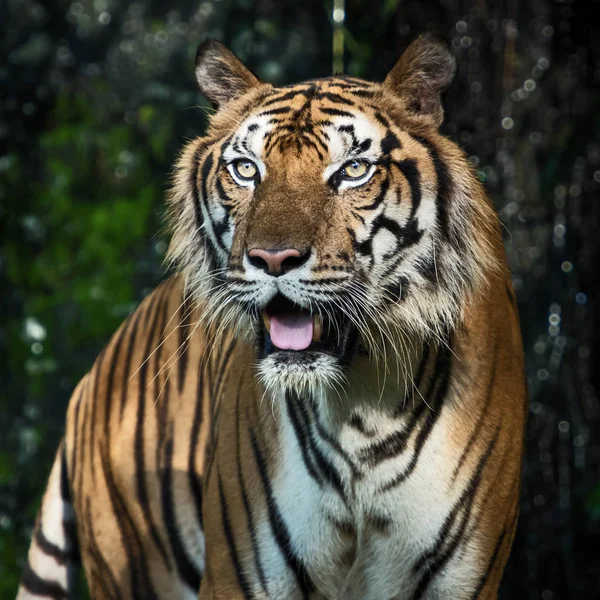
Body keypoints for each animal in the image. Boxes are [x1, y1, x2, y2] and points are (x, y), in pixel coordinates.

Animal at [17, 34, 524, 600]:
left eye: (353, 171)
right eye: (246, 170)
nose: (273, 258)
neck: (363, 407)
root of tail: (89, 381)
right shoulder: (240, 577)